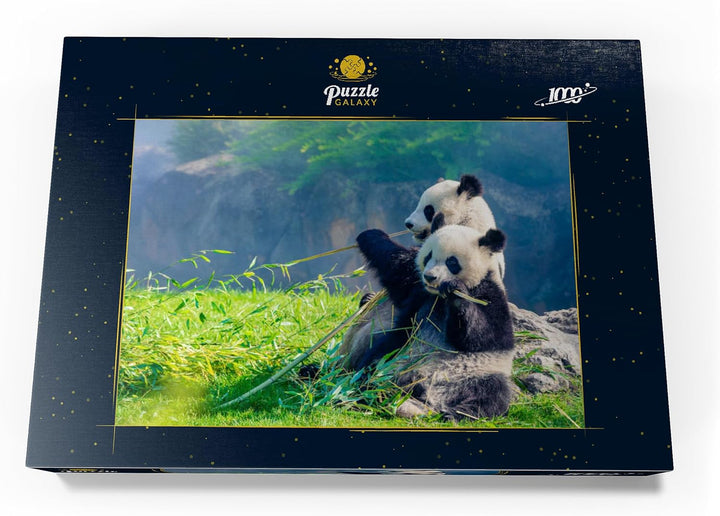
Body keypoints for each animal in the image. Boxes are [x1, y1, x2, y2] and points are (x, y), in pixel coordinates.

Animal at [342, 218, 515, 420]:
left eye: (452, 261)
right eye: (428, 256)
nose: (430, 277)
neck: (438, 297)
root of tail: (428, 395)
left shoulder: (490, 295)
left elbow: (485, 336)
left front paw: (456, 292)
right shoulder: (418, 289)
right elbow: (397, 265)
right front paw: (371, 234)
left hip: (477, 373)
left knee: (492, 394)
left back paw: (455, 413)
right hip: (396, 356)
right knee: (373, 364)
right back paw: (367, 391)